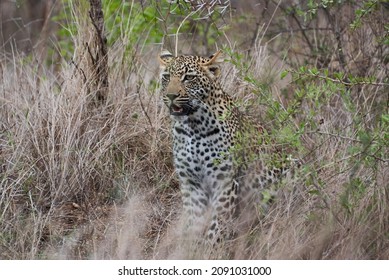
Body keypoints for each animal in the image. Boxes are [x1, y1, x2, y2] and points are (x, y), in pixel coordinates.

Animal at [158, 49, 298, 243]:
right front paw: (189, 247)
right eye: (166, 77)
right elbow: (193, 225)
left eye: (189, 77)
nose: (171, 96)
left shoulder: (224, 182)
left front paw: (210, 248)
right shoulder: (191, 184)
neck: (192, 126)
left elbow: (216, 229)